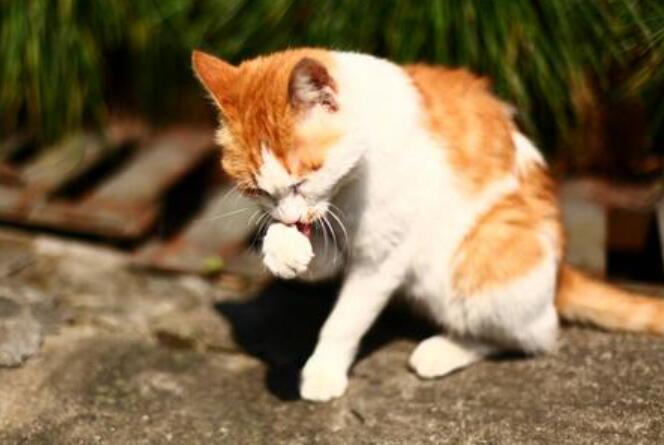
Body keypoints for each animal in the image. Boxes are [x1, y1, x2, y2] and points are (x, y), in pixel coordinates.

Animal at [192, 48, 664, 402]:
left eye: (303, 179)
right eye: (258, 191)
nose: (289, 218)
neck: (347, 190)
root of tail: (562, 270)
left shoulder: (383, 257)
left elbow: (344, 320)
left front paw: (323, 371)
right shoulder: (338, 243)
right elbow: (314, 258)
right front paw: (280, 247)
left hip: (480, 261)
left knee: (536, 333)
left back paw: (443, 349)